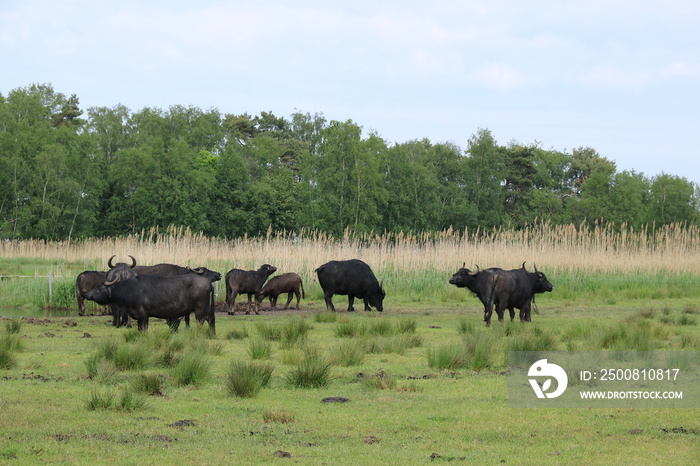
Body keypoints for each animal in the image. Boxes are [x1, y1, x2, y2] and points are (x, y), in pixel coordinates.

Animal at [82, 274, 213, 334]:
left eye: (99, 287)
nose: (87, 295)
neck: (131, 290)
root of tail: (208, 282)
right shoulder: (139, 317)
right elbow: (139, 329)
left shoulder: (144, 315)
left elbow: (144, 329)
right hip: (206, 308)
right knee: (210, 319)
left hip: (199, 309)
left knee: (201, 321)